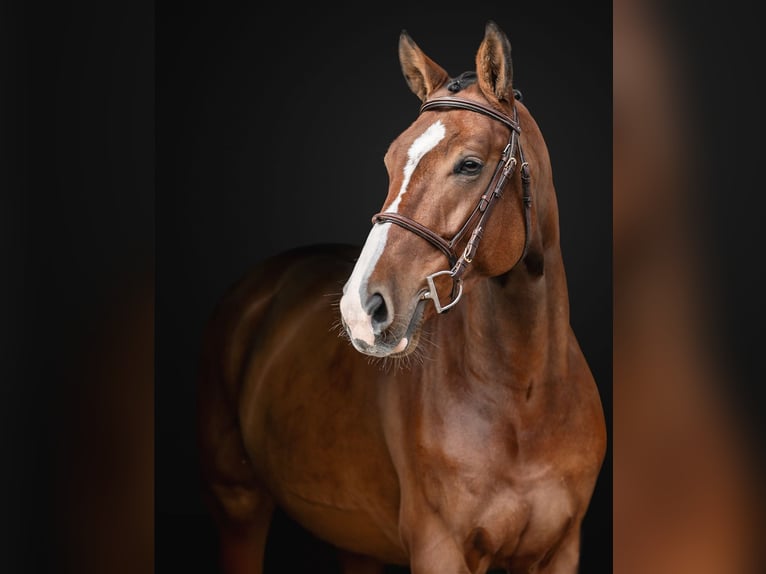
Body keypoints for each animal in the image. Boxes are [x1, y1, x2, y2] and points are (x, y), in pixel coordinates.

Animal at [197, 20, 606, 574]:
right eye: (391, 160)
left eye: (469, 165)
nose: (360, 310)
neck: (525, 399)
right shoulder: (439, 547)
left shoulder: (560, 550)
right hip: (237, 504)